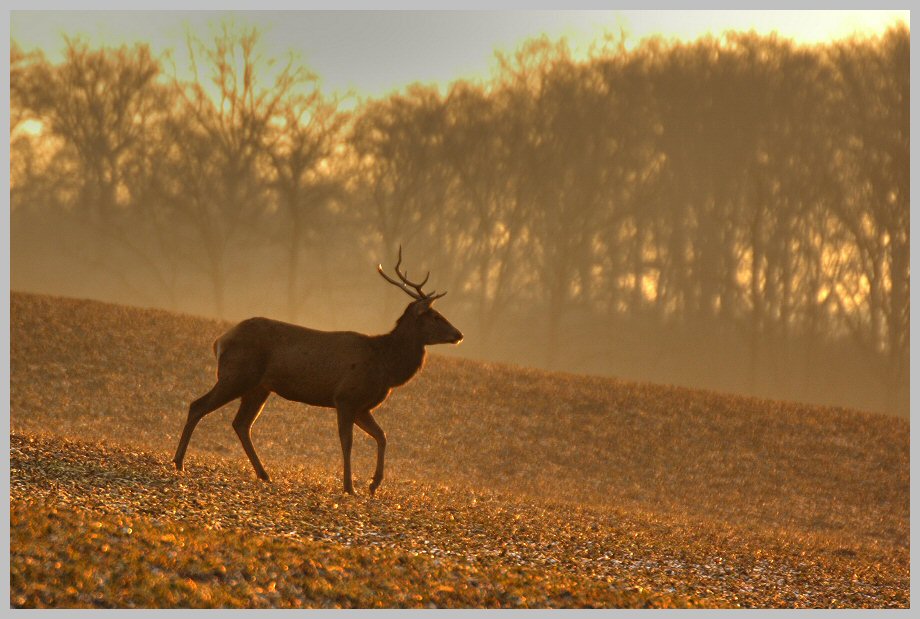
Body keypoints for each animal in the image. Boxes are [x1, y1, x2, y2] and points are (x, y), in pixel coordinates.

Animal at [172, 249, 464, 496]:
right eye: (436, 316)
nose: (458, 334)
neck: (386, 366)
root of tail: (220, 340)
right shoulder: (345, 397)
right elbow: (348, 442)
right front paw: (350, 487)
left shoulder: (362, 406)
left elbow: (382, 436)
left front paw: (373, 485)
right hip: (236, 375)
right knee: (198, 406)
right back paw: (179, 462)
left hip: (259, 387)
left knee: (241, 423)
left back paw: (264, 474)